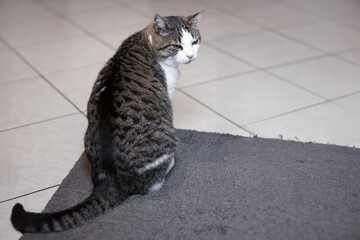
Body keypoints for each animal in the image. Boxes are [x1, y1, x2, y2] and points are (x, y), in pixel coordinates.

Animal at [10, 10, 202, 232]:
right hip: (166, 134)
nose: (191, 55)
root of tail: (111, 180)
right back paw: (170, 164)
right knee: (152, 184)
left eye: (194, 42)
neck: (144, 40)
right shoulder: (168, 94)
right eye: (177, 46)